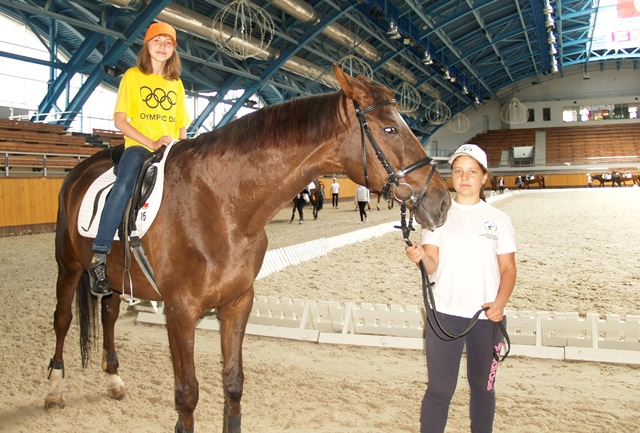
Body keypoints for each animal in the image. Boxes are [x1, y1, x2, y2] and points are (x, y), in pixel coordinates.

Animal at [44, 64, 451, 433]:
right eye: (389, 128)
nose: (442, 201)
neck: (221, 203)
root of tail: (79, 170)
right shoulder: (179, 311)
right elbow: (187, 394)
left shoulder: (238, 302)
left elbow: (233, 384)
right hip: (68, 267)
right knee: (62, 319)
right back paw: (54, 389)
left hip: (115, 279)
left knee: (109, 314)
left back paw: (113, 379)